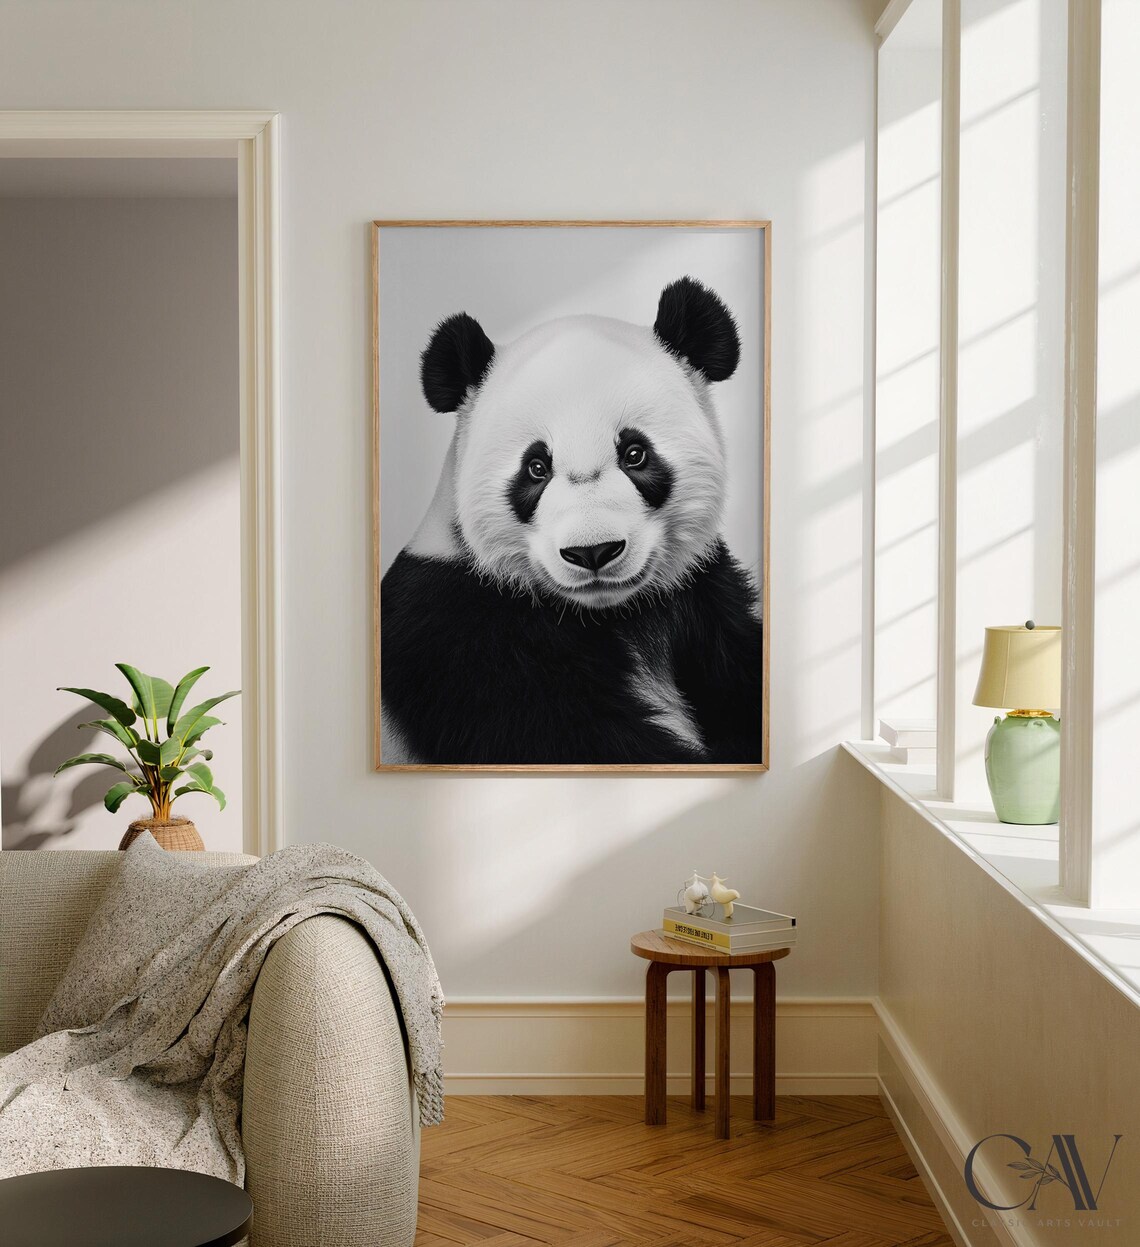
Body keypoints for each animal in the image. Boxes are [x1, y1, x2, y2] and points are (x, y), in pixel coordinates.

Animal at [380, 276, 763, 766]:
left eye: (634, 454)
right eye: (536, 468)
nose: (593, 551)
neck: (608, 613)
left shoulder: (702, 595)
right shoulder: (461, 645)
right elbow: (577, 737)